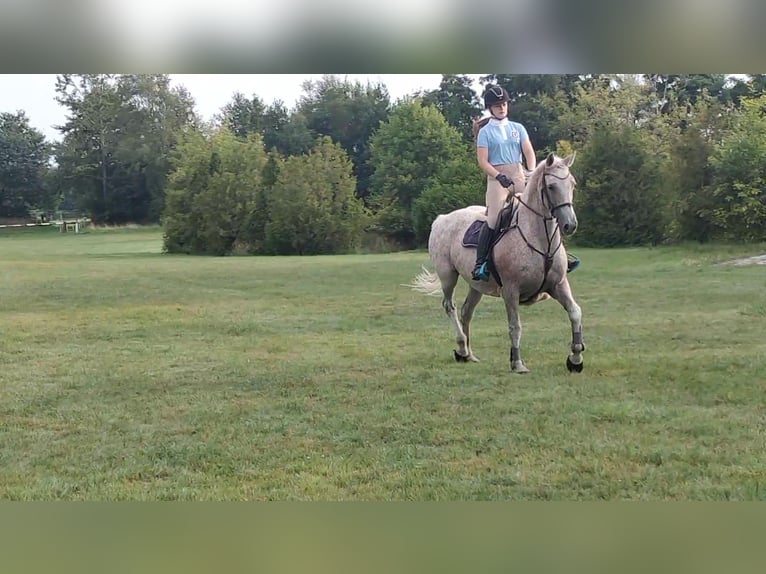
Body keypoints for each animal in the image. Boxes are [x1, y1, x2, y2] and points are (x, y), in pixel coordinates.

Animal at [408, 153, 588, 376]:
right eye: (552, 186)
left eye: (572, 184)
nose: (570, 225)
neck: (539, 239)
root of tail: (441, 219)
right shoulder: (511, 291)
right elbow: (515, 326)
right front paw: (517, 362)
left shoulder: (559, 285)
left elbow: (575, 312)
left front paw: (576, 358)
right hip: (448, 276)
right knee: (450, 306)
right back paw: (461, 348)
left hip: (476, 285)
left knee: (466, 311)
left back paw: (468, 354)